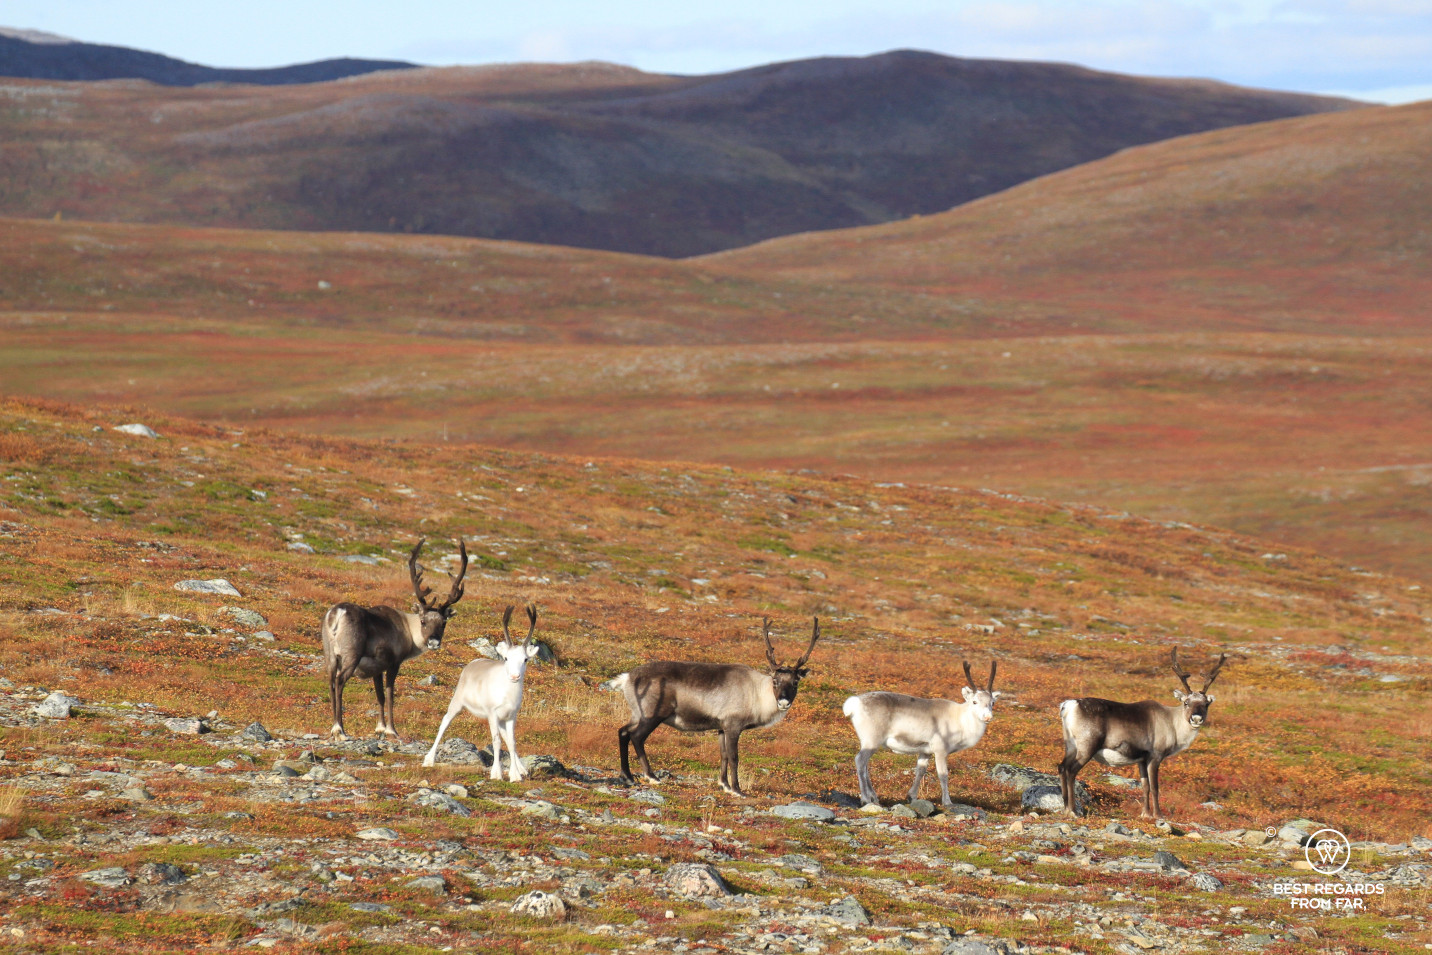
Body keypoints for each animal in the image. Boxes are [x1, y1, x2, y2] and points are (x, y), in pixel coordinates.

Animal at [321, 538, 468, 741]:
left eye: (444, 623)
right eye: (423, 621)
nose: (434, 642)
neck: (408, 629)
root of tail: (337, 613)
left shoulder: (376, 668)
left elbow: (380, 695)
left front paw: (380, 728)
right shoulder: (393, 662)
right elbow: (390, 694)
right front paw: (391, 729)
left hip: (329, 654)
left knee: (330, 682)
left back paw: (333, 727)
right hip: (351, 654)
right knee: (340, 680)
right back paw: (339, 729)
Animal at [422, 604, 540, 781]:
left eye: (525, 659)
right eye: (506, 658)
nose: (514, 676)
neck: (507, 695)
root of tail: (473, 662)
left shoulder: (511, 716)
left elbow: (512, 742)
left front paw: (515, 776)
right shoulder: (492, 713)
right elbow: (496, 741)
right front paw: (496, 773)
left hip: (501, 720)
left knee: (507, 738)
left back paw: (523, 769)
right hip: (457, 703)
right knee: (444, 722)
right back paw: (428, 760)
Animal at [606, 617, 820, 796]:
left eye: (795, 682)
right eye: (775, 681)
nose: (783, 701)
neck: (757, 694)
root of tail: (626, 678)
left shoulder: (721, 727)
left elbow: (723, 755)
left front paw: (724, 784)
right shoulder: (733, 725)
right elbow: (733, 756)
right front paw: (737, 790)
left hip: (637, 713)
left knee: (623, 731)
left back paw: (628, 776)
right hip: (652, 714)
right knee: (636, 736)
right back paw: (651, 776)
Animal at [843, 660, 1000, 808]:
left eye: (992, 702)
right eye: (974, 701)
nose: (987, 717)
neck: (960, 719)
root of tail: (854, 703)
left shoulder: (926, 751)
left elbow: (920, 770)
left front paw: (911, 796)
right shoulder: (941, 749)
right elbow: (943, 774)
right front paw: (947, 801)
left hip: (868, 741)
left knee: (865, 765)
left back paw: (874, 798)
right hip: (872, 739)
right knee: (860, 760)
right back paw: (865, 799)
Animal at [1057, 648, 1227, 819]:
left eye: (1206, 704)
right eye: (1186, 703)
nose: (1197, 718)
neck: (1173, 724)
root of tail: (1068, 705)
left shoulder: (1141, 759)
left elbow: (1145, 786)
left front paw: (1145, 813)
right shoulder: (1155, 755)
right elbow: (1155, 787)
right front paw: (1158, 815)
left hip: (1070, 744)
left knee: (1062, 767)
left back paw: (1065, 807)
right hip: (1087, 745)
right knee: (1071, 770)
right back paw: (1072, 810)